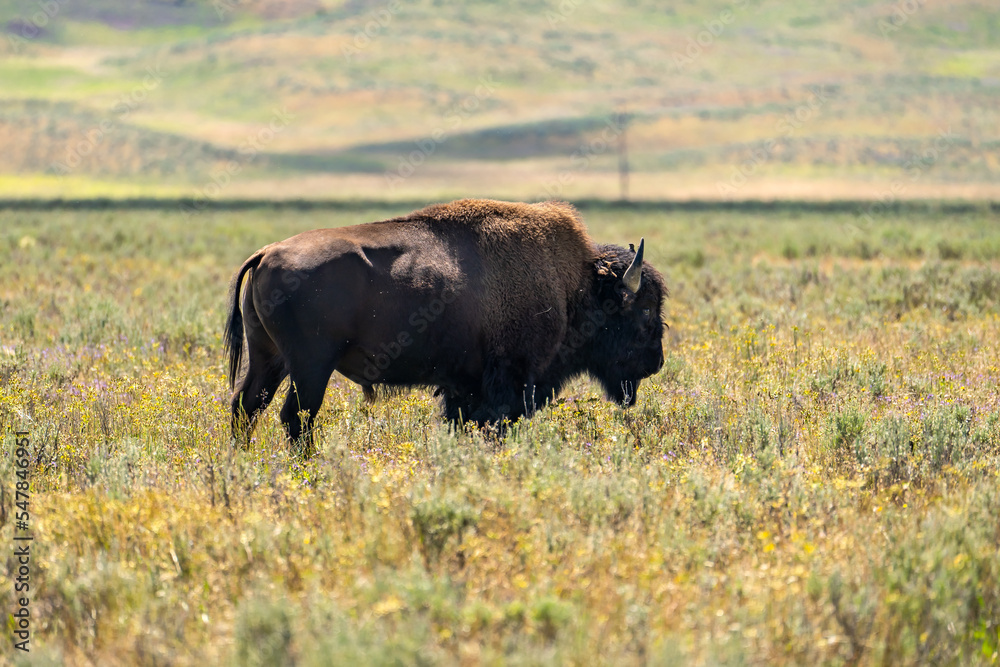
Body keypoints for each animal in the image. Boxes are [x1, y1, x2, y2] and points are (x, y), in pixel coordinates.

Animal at [225, 198, 664, 448]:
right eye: (644, 310)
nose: (656, 363)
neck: (573, 284)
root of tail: (266, 253)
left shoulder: (463, 387)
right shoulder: (507, 382)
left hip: (269, 358)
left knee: (246, 407)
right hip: (311, 366)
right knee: (296, 417)